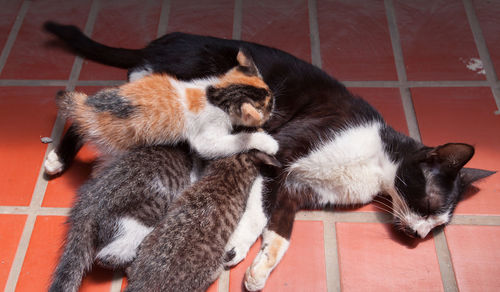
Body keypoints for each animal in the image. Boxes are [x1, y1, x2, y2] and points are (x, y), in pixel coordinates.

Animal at [44, 49, 276, 176]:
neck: (214, 93)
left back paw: (57, 158)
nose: (274, 108)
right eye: (269, 105)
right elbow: (236, 140)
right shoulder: (206, 136)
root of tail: (89, 108)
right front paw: (268, 142)